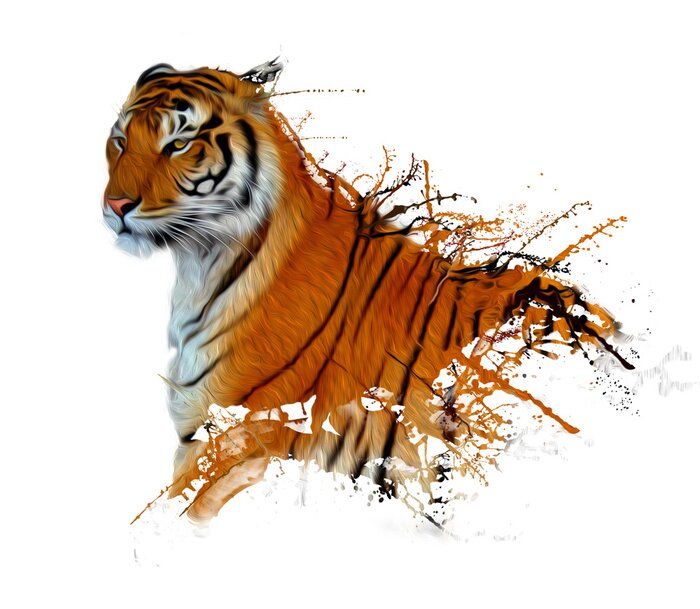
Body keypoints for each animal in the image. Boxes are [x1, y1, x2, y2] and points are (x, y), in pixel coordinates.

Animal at [103, 59, 630, 524]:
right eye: (120, 140)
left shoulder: (244, 430)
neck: (203, 263)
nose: (116, 205)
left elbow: (185, 508)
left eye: (179, 143)